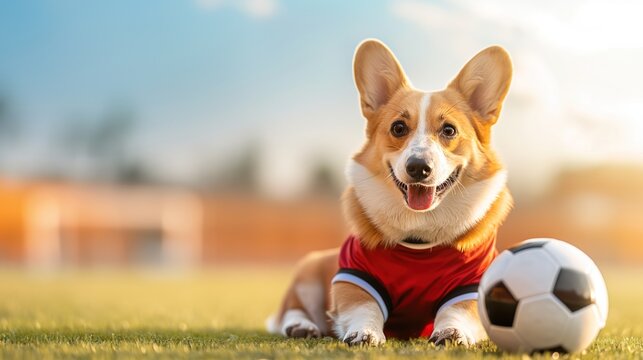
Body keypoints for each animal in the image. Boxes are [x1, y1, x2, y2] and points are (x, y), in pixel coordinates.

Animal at [266, 39, 512, 346]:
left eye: (449, 130)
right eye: (398, 127)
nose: (418, 167)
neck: (419, 237)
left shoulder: (470, 285)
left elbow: (457, 312)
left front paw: (452, 332)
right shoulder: (355, 278)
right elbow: (365, 308)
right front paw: (365, 332)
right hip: (307, 277)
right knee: (291, 310)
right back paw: (301, 326)